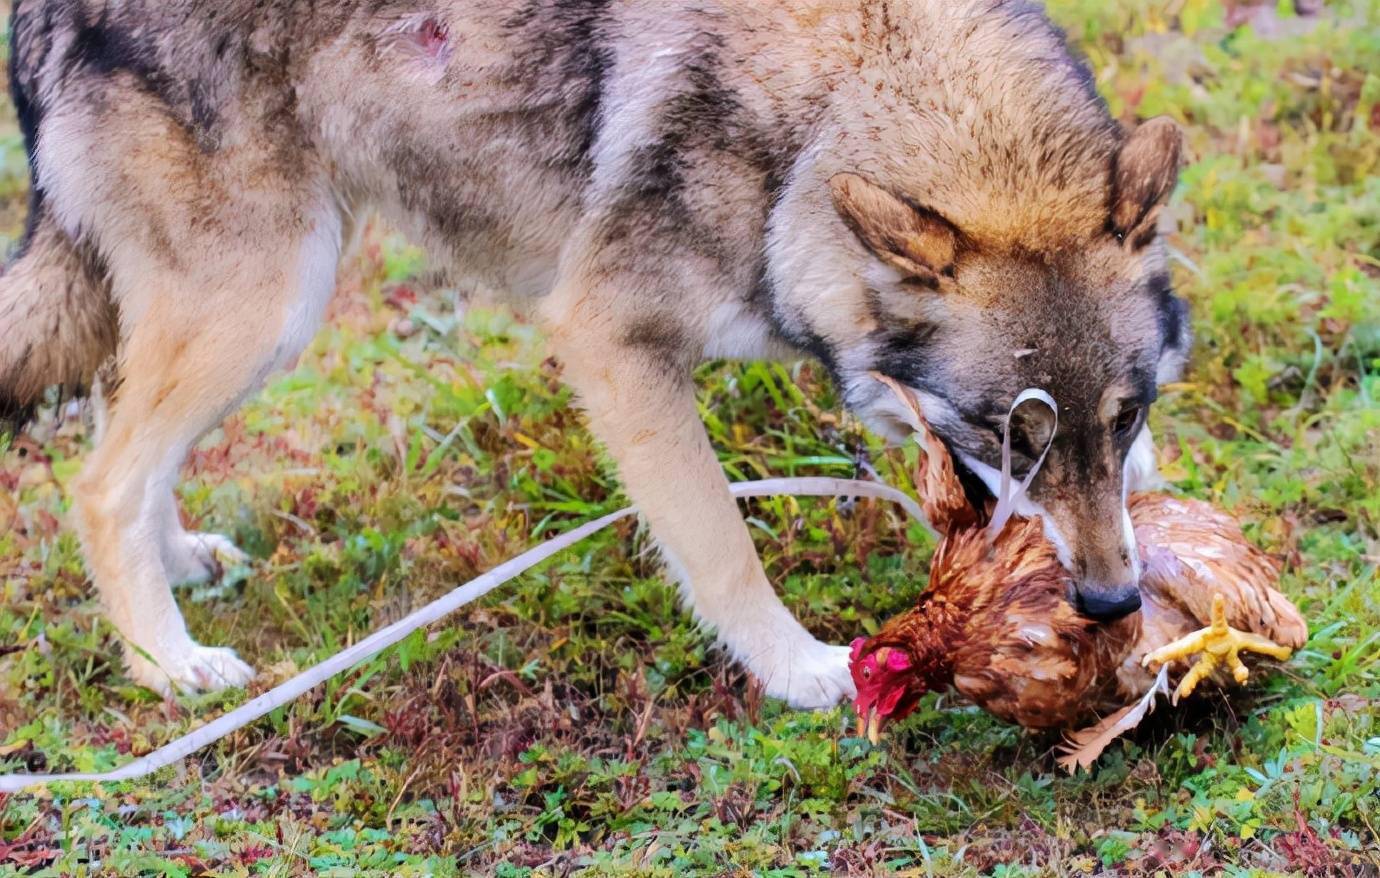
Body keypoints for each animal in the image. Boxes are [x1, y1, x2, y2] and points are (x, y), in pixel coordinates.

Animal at [0, 0, 1186, 712]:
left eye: (1122, 413)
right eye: (1007, 434)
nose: (1111, 603)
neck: (841, 91)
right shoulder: (610, 341)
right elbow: (719, 546)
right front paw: (804, 669)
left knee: (123, 426)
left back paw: (184, 565)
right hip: (270, 303)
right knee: (98, 482)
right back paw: (169, 664)